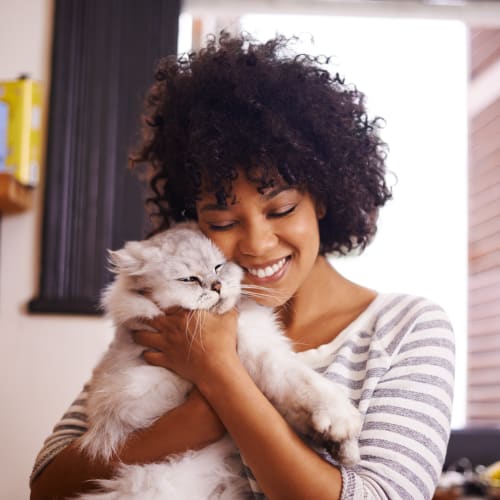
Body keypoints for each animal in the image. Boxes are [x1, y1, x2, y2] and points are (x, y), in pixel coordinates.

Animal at [76, 224, 362, 500]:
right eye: (189, 279)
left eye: (218, 267)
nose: (216, 286)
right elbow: (303, 385)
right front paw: (341, 424)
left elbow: (301, 398)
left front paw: (343, 447)